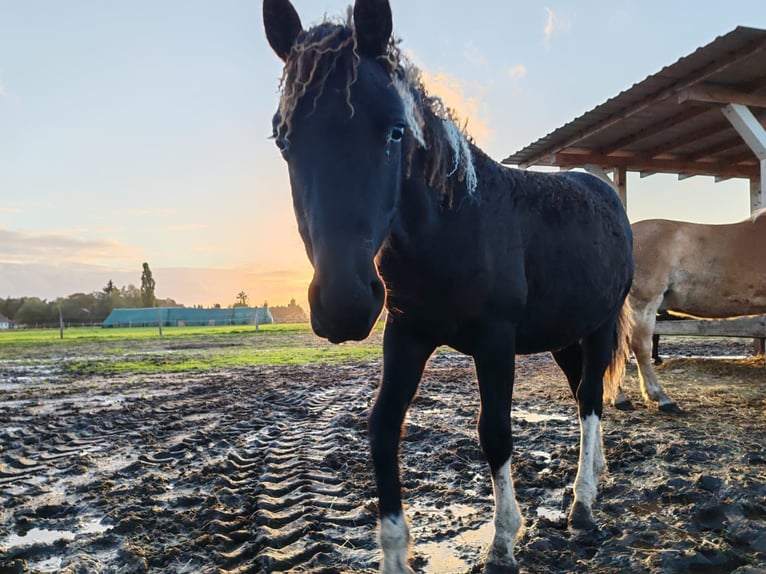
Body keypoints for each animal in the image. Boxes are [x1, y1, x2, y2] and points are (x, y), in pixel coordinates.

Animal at [264, 2, 636, 572]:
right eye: (284, 139)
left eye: (396, 132)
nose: (344, 304)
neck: (453, 224)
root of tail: (603, 192)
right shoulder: (407, 335)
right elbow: (382, 427)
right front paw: (395, 552)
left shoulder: (495, 342)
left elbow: (495, 433)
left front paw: (502, 543)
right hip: (562, 336)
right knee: (580, 396)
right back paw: (595, 478)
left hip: (597, 327)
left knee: (592, 399)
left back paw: (583, 506)